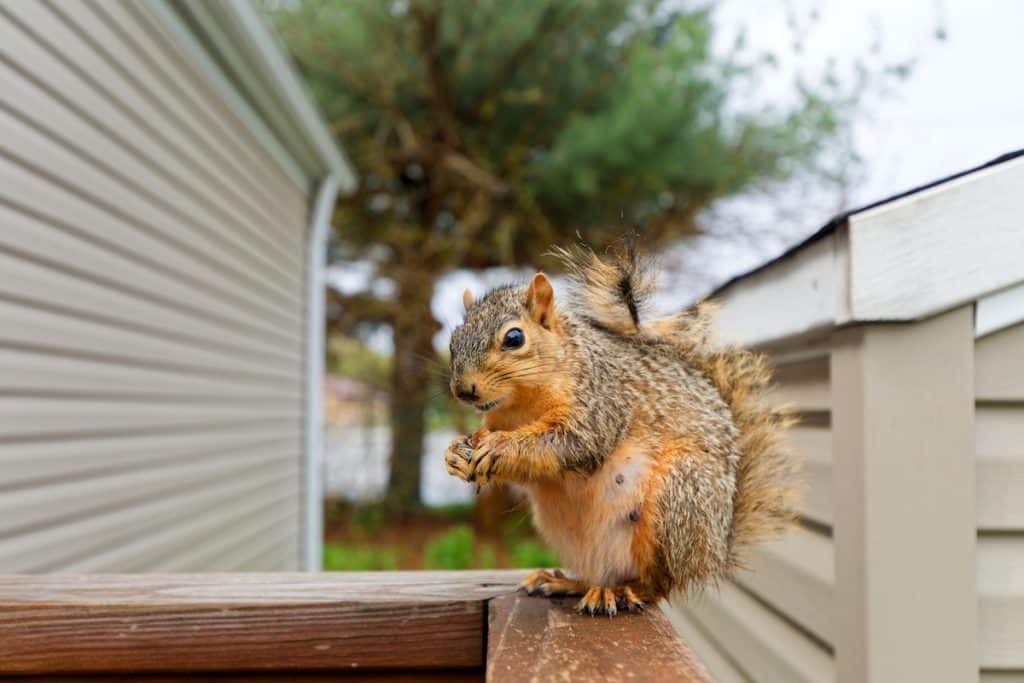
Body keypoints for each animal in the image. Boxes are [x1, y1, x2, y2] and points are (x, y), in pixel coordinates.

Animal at [444, 242, 798, 615]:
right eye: (453, 339)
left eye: (514, 338)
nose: (463, 390)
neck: (520, 406)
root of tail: (715, 550)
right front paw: (454, 453)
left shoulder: (599, 404)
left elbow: (573, 443)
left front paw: (499, 447)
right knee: (602, 574)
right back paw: (569, 583)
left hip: (678, 498)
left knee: (659, 584)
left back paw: (625, 592)